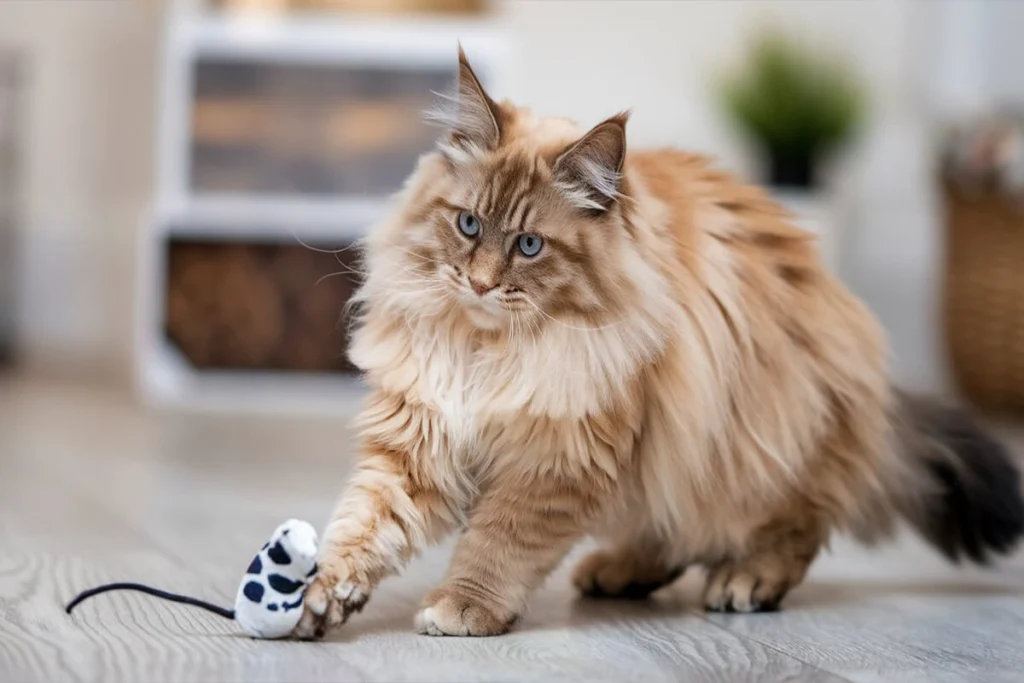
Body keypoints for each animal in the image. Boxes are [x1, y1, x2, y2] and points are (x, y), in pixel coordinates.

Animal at [288, 49, 1024, 643]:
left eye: (528, 245)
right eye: (468, 225)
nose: (479, 283)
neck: (487, 351)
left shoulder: (557, 458)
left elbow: (497, 542)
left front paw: (463, 608)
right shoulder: (419, 437)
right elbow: (362, 525)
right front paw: (314, 595)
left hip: (761, 446)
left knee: (793, 528)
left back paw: (745, 580)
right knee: (674, 532)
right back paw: (618, 570)